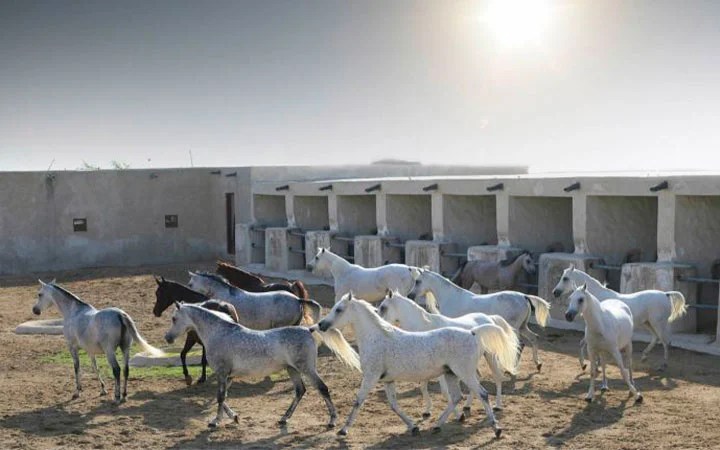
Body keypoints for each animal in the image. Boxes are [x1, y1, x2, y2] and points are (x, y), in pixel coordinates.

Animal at [32, 280, 164, 404]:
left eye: (40, 294)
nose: (35, 310)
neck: (73, 312)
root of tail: (120, 314)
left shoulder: (72, 348)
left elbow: (77, 368)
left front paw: (77, 392)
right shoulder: (90, 351)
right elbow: (95, 368)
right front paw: (102, 389)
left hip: (110, 351)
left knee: (117, 370)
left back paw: (117, 397)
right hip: (125, 348)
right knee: (126, 369)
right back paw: (124, 395)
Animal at [164, 302, 359, 428]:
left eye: (174, 318)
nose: (168, 338)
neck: (219, 333)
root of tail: (307, 329)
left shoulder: (222, 373)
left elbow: (220, 398)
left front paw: (215, 422)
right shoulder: (228, 375)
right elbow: (223, 397)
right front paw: (234, 417)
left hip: (307, 368)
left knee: (322, 388)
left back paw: (332, 421)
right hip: (292, 369)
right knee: (300, 391)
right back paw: (283, 419)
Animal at [377, 289, 518, 411]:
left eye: (383, 307)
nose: (381, 326)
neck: (424, 328)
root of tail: (489, 318)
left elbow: (444, 391)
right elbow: (423, 387)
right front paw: (427, 410)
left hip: (489, 356)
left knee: (497, 378)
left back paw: (497, 405)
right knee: (476, 380)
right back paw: (467, 406)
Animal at [407, 267, 550, 372]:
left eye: (418, 281)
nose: (410, 295)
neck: (451, 297)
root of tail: (524, 296)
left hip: (514, 328)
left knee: (519, 345)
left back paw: (511, 369)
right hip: (523, 326)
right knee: (533, 338)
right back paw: (537, 364)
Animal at [552, 265, 687, 370]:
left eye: (565, 278)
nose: (555, 292)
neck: (597, 299)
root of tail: (665, 294)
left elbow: (582, 343)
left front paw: (586, 365)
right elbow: (583, 344)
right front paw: (591, 365)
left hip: (658, 323)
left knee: (665, 341)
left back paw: (663, 365)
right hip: (647, 323)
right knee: (656, 338)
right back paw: (644, 356)